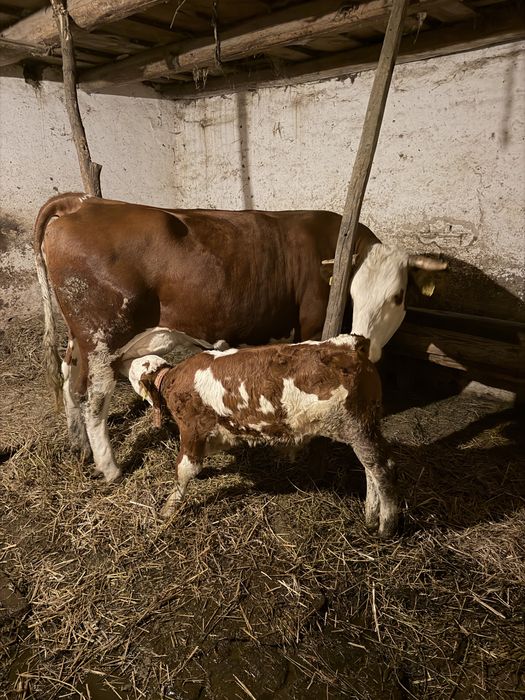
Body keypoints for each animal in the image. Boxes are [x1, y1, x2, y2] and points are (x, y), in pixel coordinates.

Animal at [33, 192, 446, 483]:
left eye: (398, 296)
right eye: (353, 293)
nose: (366, 342)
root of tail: (84, 203)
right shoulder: (312, 327)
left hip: (80, 339)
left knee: (69, 379)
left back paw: (77, 444)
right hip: (101, 338)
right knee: (93, 399)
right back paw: (109, 467)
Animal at [129, 333, 399, 538]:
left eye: (133, 371)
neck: (172, 378)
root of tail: (349, 344)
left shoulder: (191, 429)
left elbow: (185, 469)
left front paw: (169, 507)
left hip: (358, 427)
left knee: (383, 468)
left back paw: (386, 525)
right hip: (362, 430)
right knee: (370, 470)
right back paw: (370, 516)